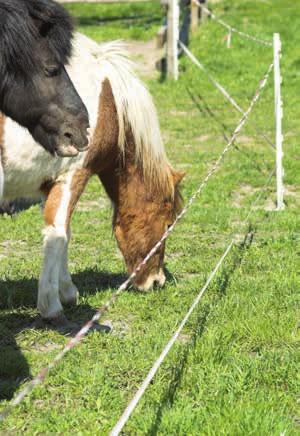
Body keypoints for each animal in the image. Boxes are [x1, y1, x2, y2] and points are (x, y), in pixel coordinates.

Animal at [0, 34, 184, 324]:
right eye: (167, 224)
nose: (157, 281)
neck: (106, 102)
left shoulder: (50, 183)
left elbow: (65, 233)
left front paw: (67, 291)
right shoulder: (73, 175)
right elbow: (58, 233)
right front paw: (52, 305)